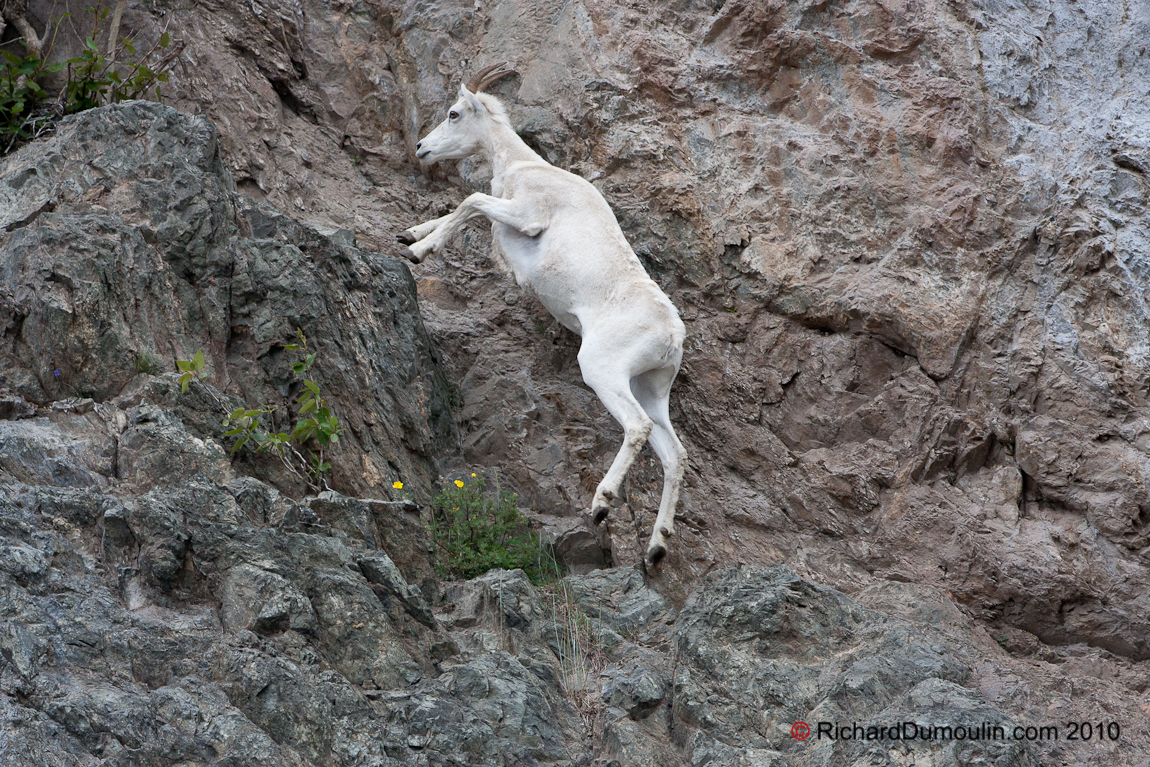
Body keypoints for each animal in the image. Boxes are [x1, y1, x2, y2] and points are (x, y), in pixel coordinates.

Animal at [397, 66, 680, 568]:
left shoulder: (523, 216)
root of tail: (671, 335)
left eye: (454, 113)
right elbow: (463, 209)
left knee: (637, 429)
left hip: (604, 372)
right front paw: (410, 233)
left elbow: (469, 202)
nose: (422, 147)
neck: (522, 168)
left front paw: (417, 250)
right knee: (674, 456)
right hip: (651, 389)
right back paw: (656, 547)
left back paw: (601, 506)